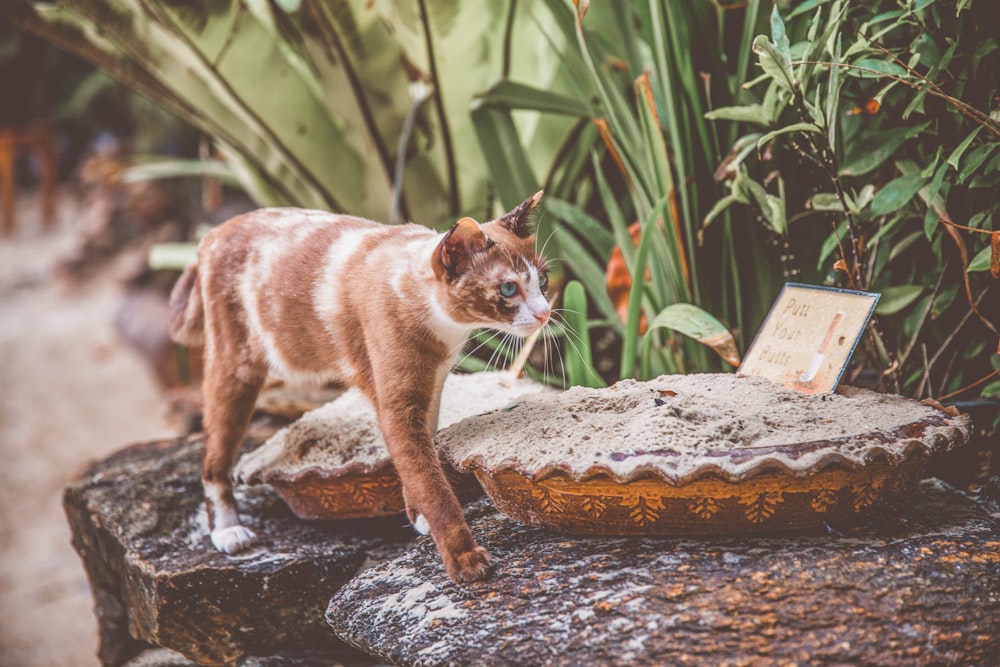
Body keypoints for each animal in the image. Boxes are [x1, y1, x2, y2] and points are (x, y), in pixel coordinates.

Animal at [168, 190, 552, 580]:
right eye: (508, 288)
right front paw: (464, 559)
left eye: (543, 281)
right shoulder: (398, 405)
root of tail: (212, 234)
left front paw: (419, 518)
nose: (545, 313)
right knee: (214, 456)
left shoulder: (430, 388)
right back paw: (227, 530)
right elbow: (431, 484)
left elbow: (420, 463)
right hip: (236, 367)